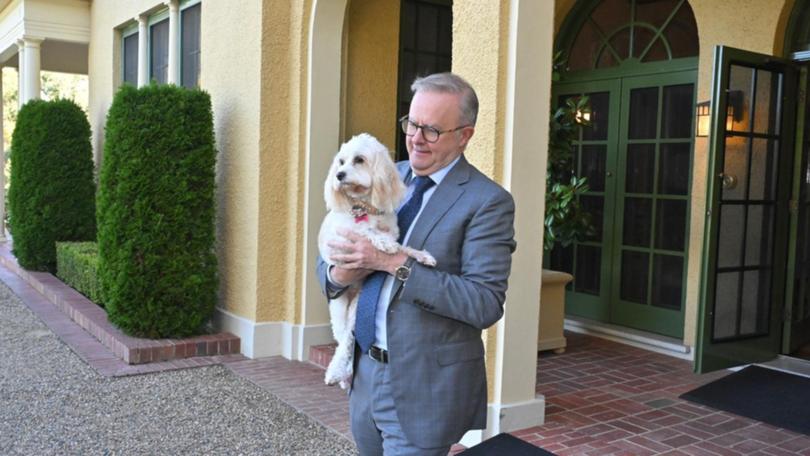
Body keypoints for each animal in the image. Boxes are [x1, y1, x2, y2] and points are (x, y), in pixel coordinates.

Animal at [318, 133, 438, 388]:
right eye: (341, 162)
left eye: (359, 160)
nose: (339, 175)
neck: (365, 208)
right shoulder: (342, 239)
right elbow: (368, 233)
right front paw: (383, 243)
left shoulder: (392, 230)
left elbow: (405, 247)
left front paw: (422, 255)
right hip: (338, 307)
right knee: (342, 341)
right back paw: (336, 372)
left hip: (355, 308)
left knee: (349, 338)